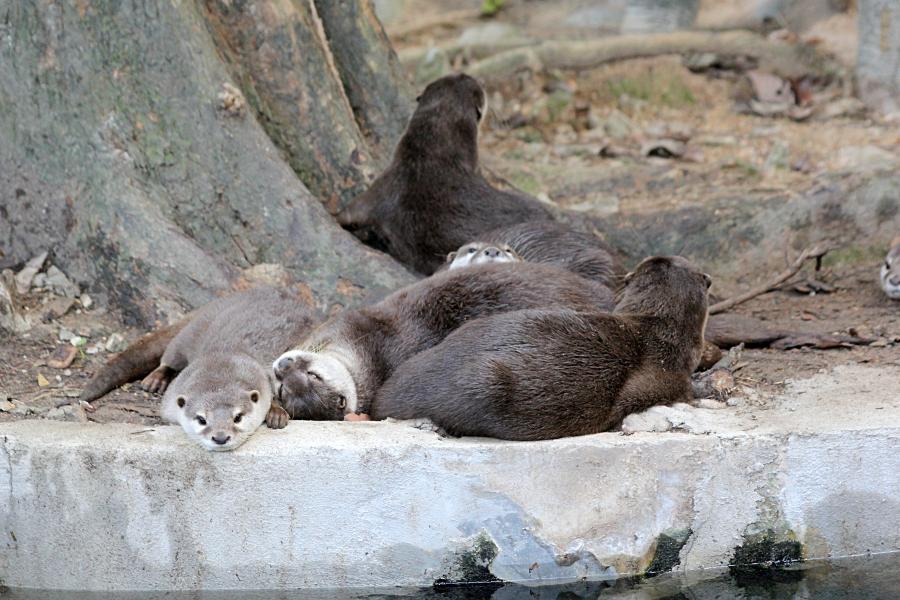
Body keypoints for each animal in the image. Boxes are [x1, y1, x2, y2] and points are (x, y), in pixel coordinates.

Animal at [81, 288, 318, 450]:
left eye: (238, 417)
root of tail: (214, 304)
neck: (223, 362)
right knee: (169, 357)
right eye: (202, 419)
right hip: (188, 335)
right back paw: (155, 379)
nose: (221, 437)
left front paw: (276, 413)